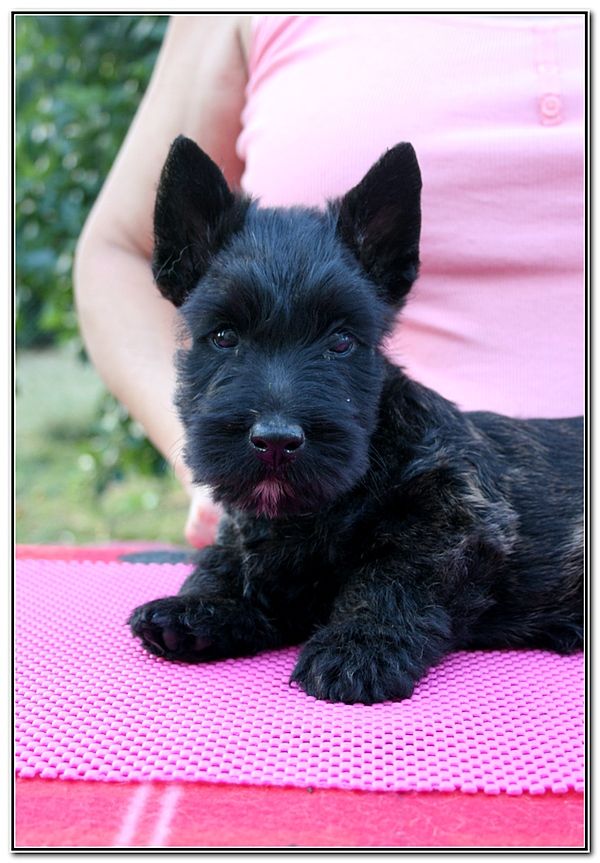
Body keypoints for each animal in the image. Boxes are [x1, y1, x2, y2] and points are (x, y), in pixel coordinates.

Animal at [129, 136, 583, 704]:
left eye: (342, 340)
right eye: (223, 336)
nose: (275, 440)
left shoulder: (459, 517)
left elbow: (393, 574)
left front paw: (358, 646)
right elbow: (226, 560)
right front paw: (197, 607)